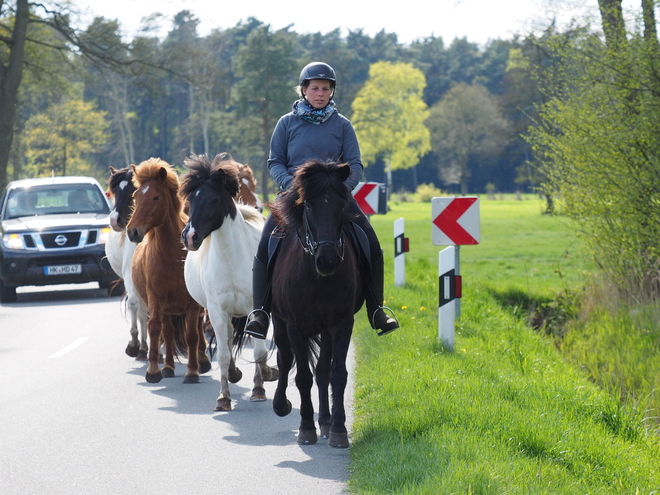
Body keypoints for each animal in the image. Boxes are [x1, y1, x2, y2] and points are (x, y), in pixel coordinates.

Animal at [126, 158, 211, 384]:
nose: (132, 231)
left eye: (156, 197)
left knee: (197, 328)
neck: (172, 256)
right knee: (168, 331)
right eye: (136, 196)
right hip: (166, 308)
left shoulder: (192, 303)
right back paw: (168, 367)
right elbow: (156, 328)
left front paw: (192, 372)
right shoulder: (156, 298)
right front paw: (154, 370)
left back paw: (202, 360)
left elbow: (192, 334)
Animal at [179, 153, 278, 412]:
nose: (189, 237)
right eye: (190, 200)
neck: (232, 258)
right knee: (230, 337)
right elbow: (223, 353)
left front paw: (259, 389)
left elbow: (259, 350)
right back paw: (234, 373)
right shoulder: (217, 311)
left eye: (214, 200)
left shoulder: (256, 308)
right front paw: (223, 398)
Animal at [268, 160, 364, 450]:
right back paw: (282, 405)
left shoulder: (341, 324)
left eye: (341, 207)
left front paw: (338, 429)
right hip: (278, 322)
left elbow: (337, 374)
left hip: (325, 328)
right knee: (285, 359)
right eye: (309, 206)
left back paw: (326, 421)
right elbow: (302, 377)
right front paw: (306, 427)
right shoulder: (294, 326)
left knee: (322, 370)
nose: (328, 260)